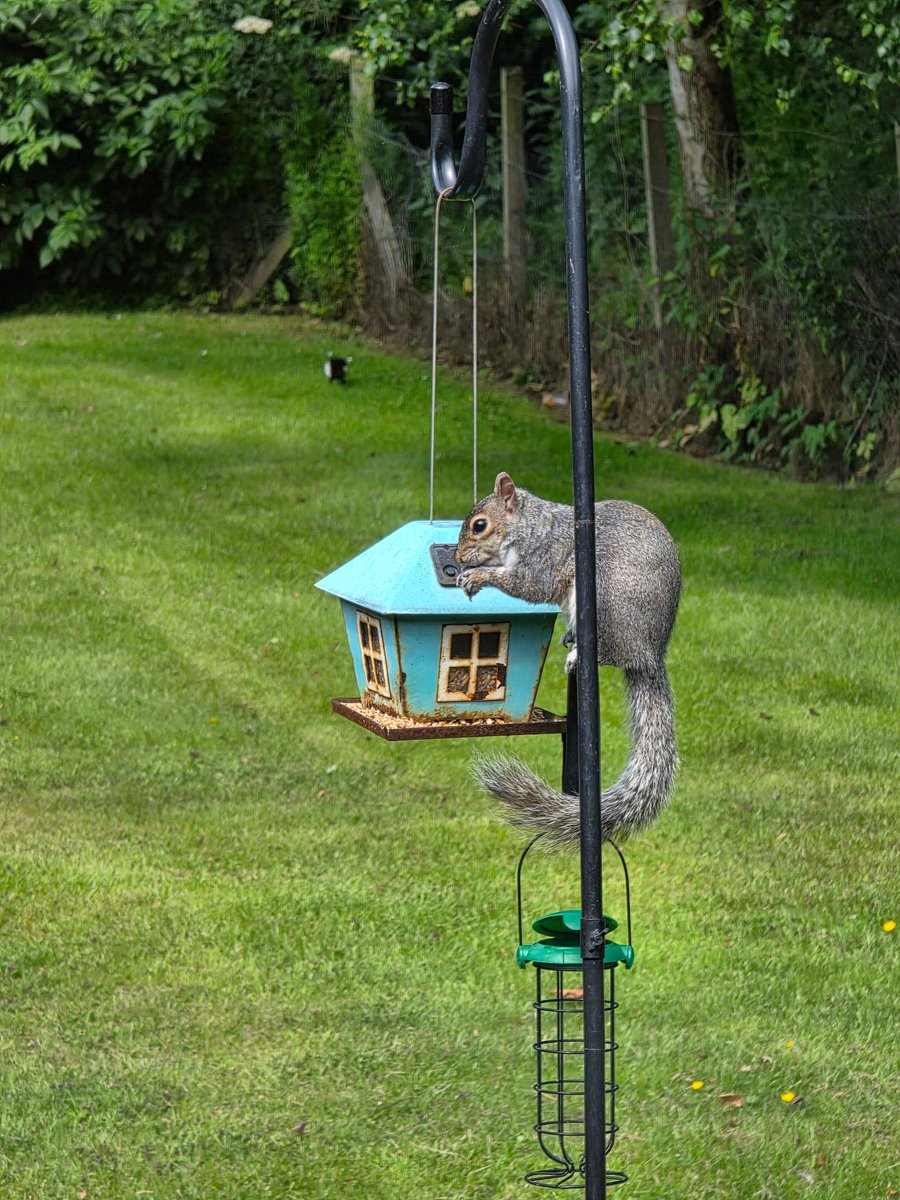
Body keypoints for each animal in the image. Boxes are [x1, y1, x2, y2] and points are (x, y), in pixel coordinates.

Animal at [454, 471, 681, 847]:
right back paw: (571, 637)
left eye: (479, 525)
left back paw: (581, 654)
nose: (458, 558)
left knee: (611, 653)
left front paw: (478, 576)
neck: (532, 527)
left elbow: (528, 585)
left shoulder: (545, 560)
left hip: (608, 599)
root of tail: (650, 654)